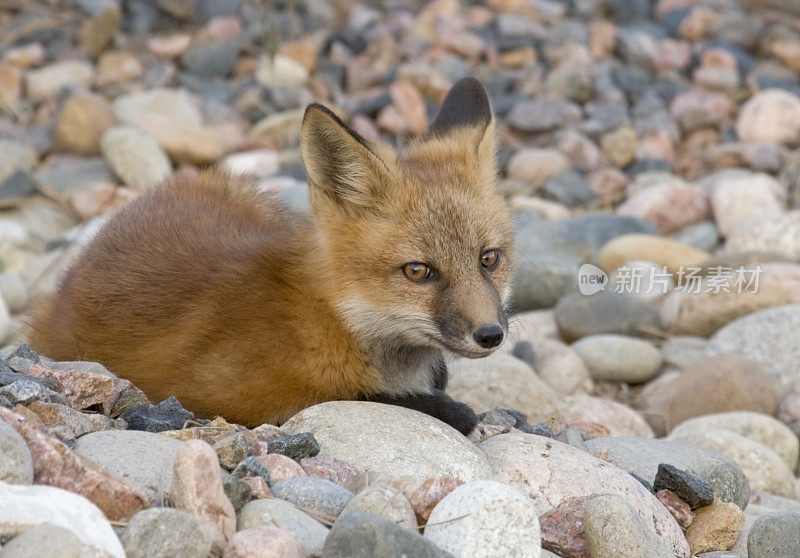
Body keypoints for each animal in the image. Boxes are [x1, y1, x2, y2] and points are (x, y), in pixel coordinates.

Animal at [28, 77, 516, 438]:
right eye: (418, 271)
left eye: (489, 259)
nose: (491, 335)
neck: (335, 321)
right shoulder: (211, 395)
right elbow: (360, 398)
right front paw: (451, 409)